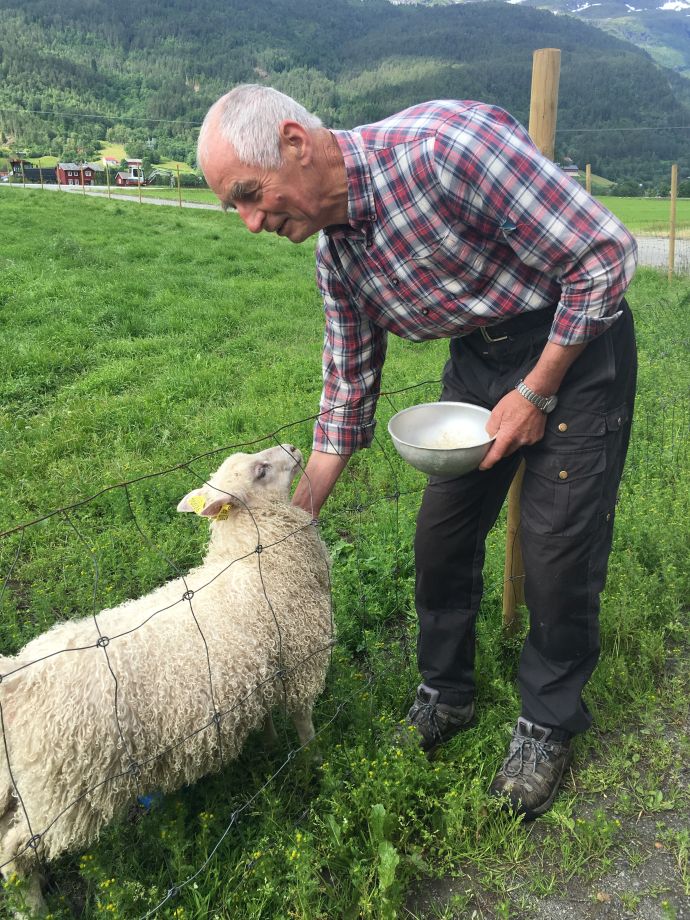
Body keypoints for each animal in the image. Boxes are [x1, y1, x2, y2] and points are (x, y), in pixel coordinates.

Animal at [0, 444, 330, 912]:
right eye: (262, 470)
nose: (294, 449)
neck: (252, 554)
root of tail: (15, 678)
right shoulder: (301, 657)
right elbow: (304, 722)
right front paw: (315, 762)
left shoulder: (257, 671)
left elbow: (265, 717)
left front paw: (268, 744)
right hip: (61, 793)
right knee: (14, 856)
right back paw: (35, 909)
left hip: (24, 787)